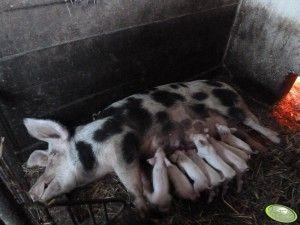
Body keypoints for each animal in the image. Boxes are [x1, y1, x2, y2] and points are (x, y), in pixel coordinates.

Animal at [23, 79, 278, 211]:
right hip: (226, 122)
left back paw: (276, 140)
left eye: (53, 156)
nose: (30, 193)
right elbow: (144, 179)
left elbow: (130, 182)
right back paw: (261, 148)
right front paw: (150, 198)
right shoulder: (138, 156)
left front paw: (142, 209)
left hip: (229, 105)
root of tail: (223, 82)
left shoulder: (122, 143)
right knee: (242, 131)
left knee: (253, 121)